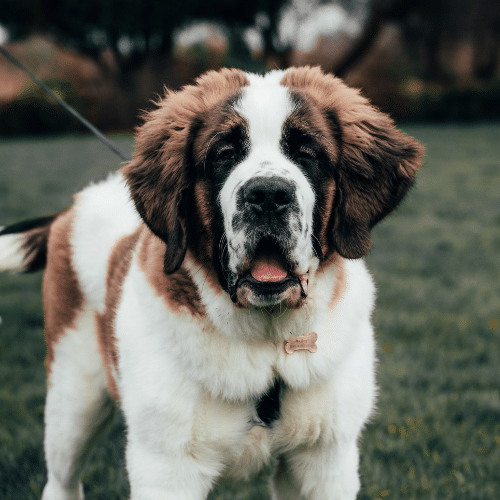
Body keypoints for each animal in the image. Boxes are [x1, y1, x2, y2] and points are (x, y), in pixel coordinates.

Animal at [0, 67, 424, 500]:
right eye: (224, 154)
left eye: (308, 153)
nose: (267, 195)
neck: (268, 342)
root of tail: (72, 208)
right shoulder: (166, 468)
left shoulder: (325, 459)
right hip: (73, 399)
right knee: (62, 477)